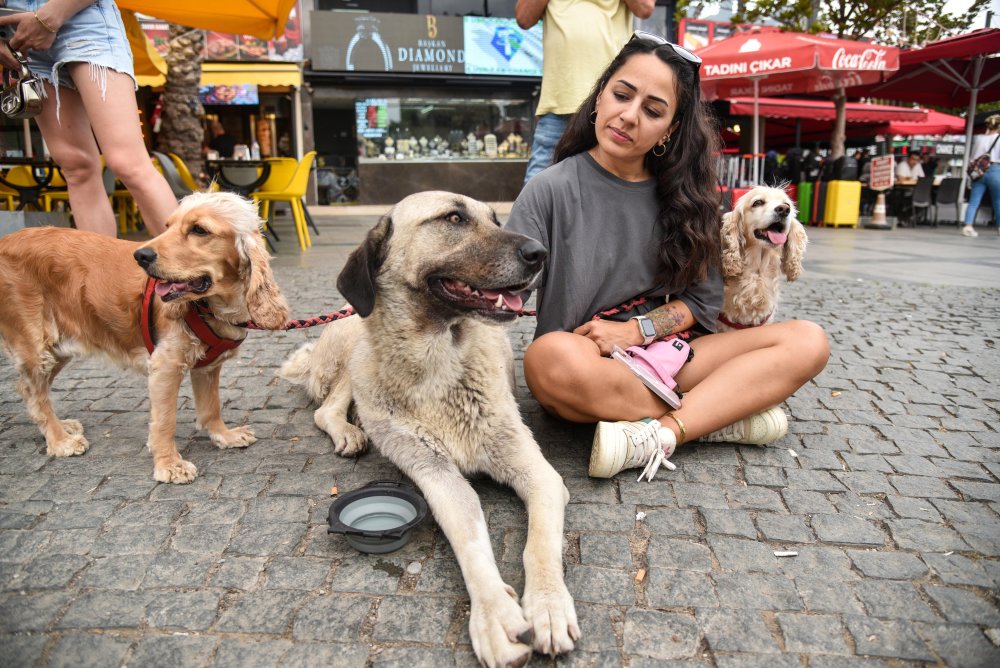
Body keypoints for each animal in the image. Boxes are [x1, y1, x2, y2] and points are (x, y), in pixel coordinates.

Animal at [0, 190, 290, 482]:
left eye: (199, 230)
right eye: (168, 226)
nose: (141, 255)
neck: (214, 306)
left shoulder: (207, 367)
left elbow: (211, 407)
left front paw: (224, 436)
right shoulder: (165, 366)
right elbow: (165, 420)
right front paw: (169, 464)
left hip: (58, 348)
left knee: (26, 389)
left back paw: (63, 427)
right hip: (36, 345)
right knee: (35, 393)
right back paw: (60, 440)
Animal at [282, 190, 580, 664]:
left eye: (496, 219)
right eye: (453, 218)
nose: (540, 253)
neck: (437, 362)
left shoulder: (537, 472)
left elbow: (539, 543)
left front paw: (548, 605)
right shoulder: (436, 474)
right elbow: (470, 540)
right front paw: (495, 615)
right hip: (358, 352)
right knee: (326, 408)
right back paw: (349, 430)